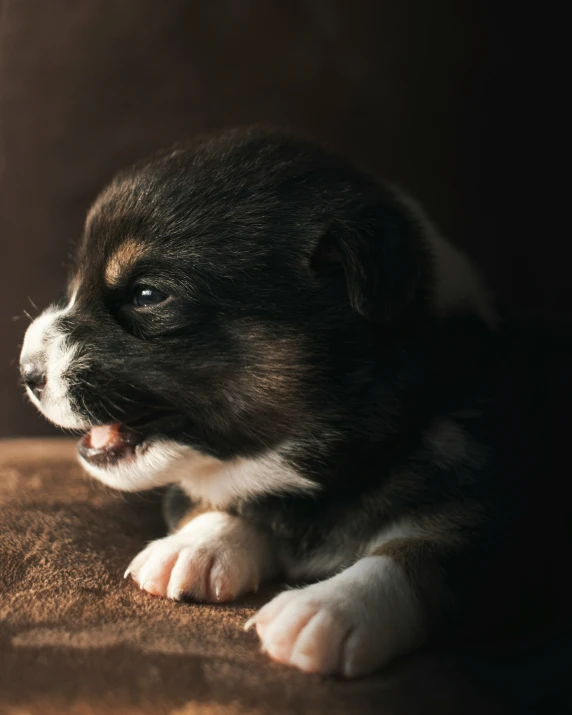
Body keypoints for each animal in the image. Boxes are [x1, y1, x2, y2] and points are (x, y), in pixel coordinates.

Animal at [17, 127, 572, 676]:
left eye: (148, 295)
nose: (25, 372)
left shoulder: (499, 520)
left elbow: (425, 553)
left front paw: (328, 610)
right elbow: (218, 498)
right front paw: (193, 547)